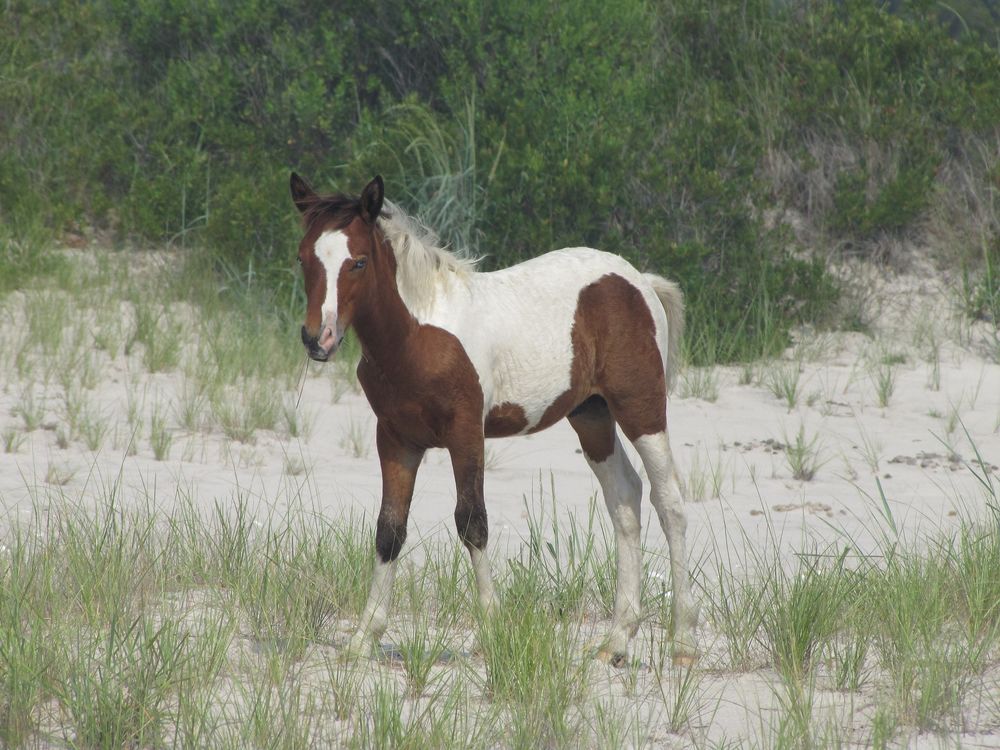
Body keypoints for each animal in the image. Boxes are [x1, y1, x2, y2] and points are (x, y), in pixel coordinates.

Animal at [288, 175, 696, 664]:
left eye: (359, 262)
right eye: (303, 258)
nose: (319, 339)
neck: (416, 336)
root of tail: (639, 281)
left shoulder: (466, 434)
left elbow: (472, 522)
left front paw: (492, 628)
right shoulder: (396, 440)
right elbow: (389, 530)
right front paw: (364, 636)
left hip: (641, 408)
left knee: (668, 501)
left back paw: (682, 641)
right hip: (592, 416)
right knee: (625, 499)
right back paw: (616, 639)